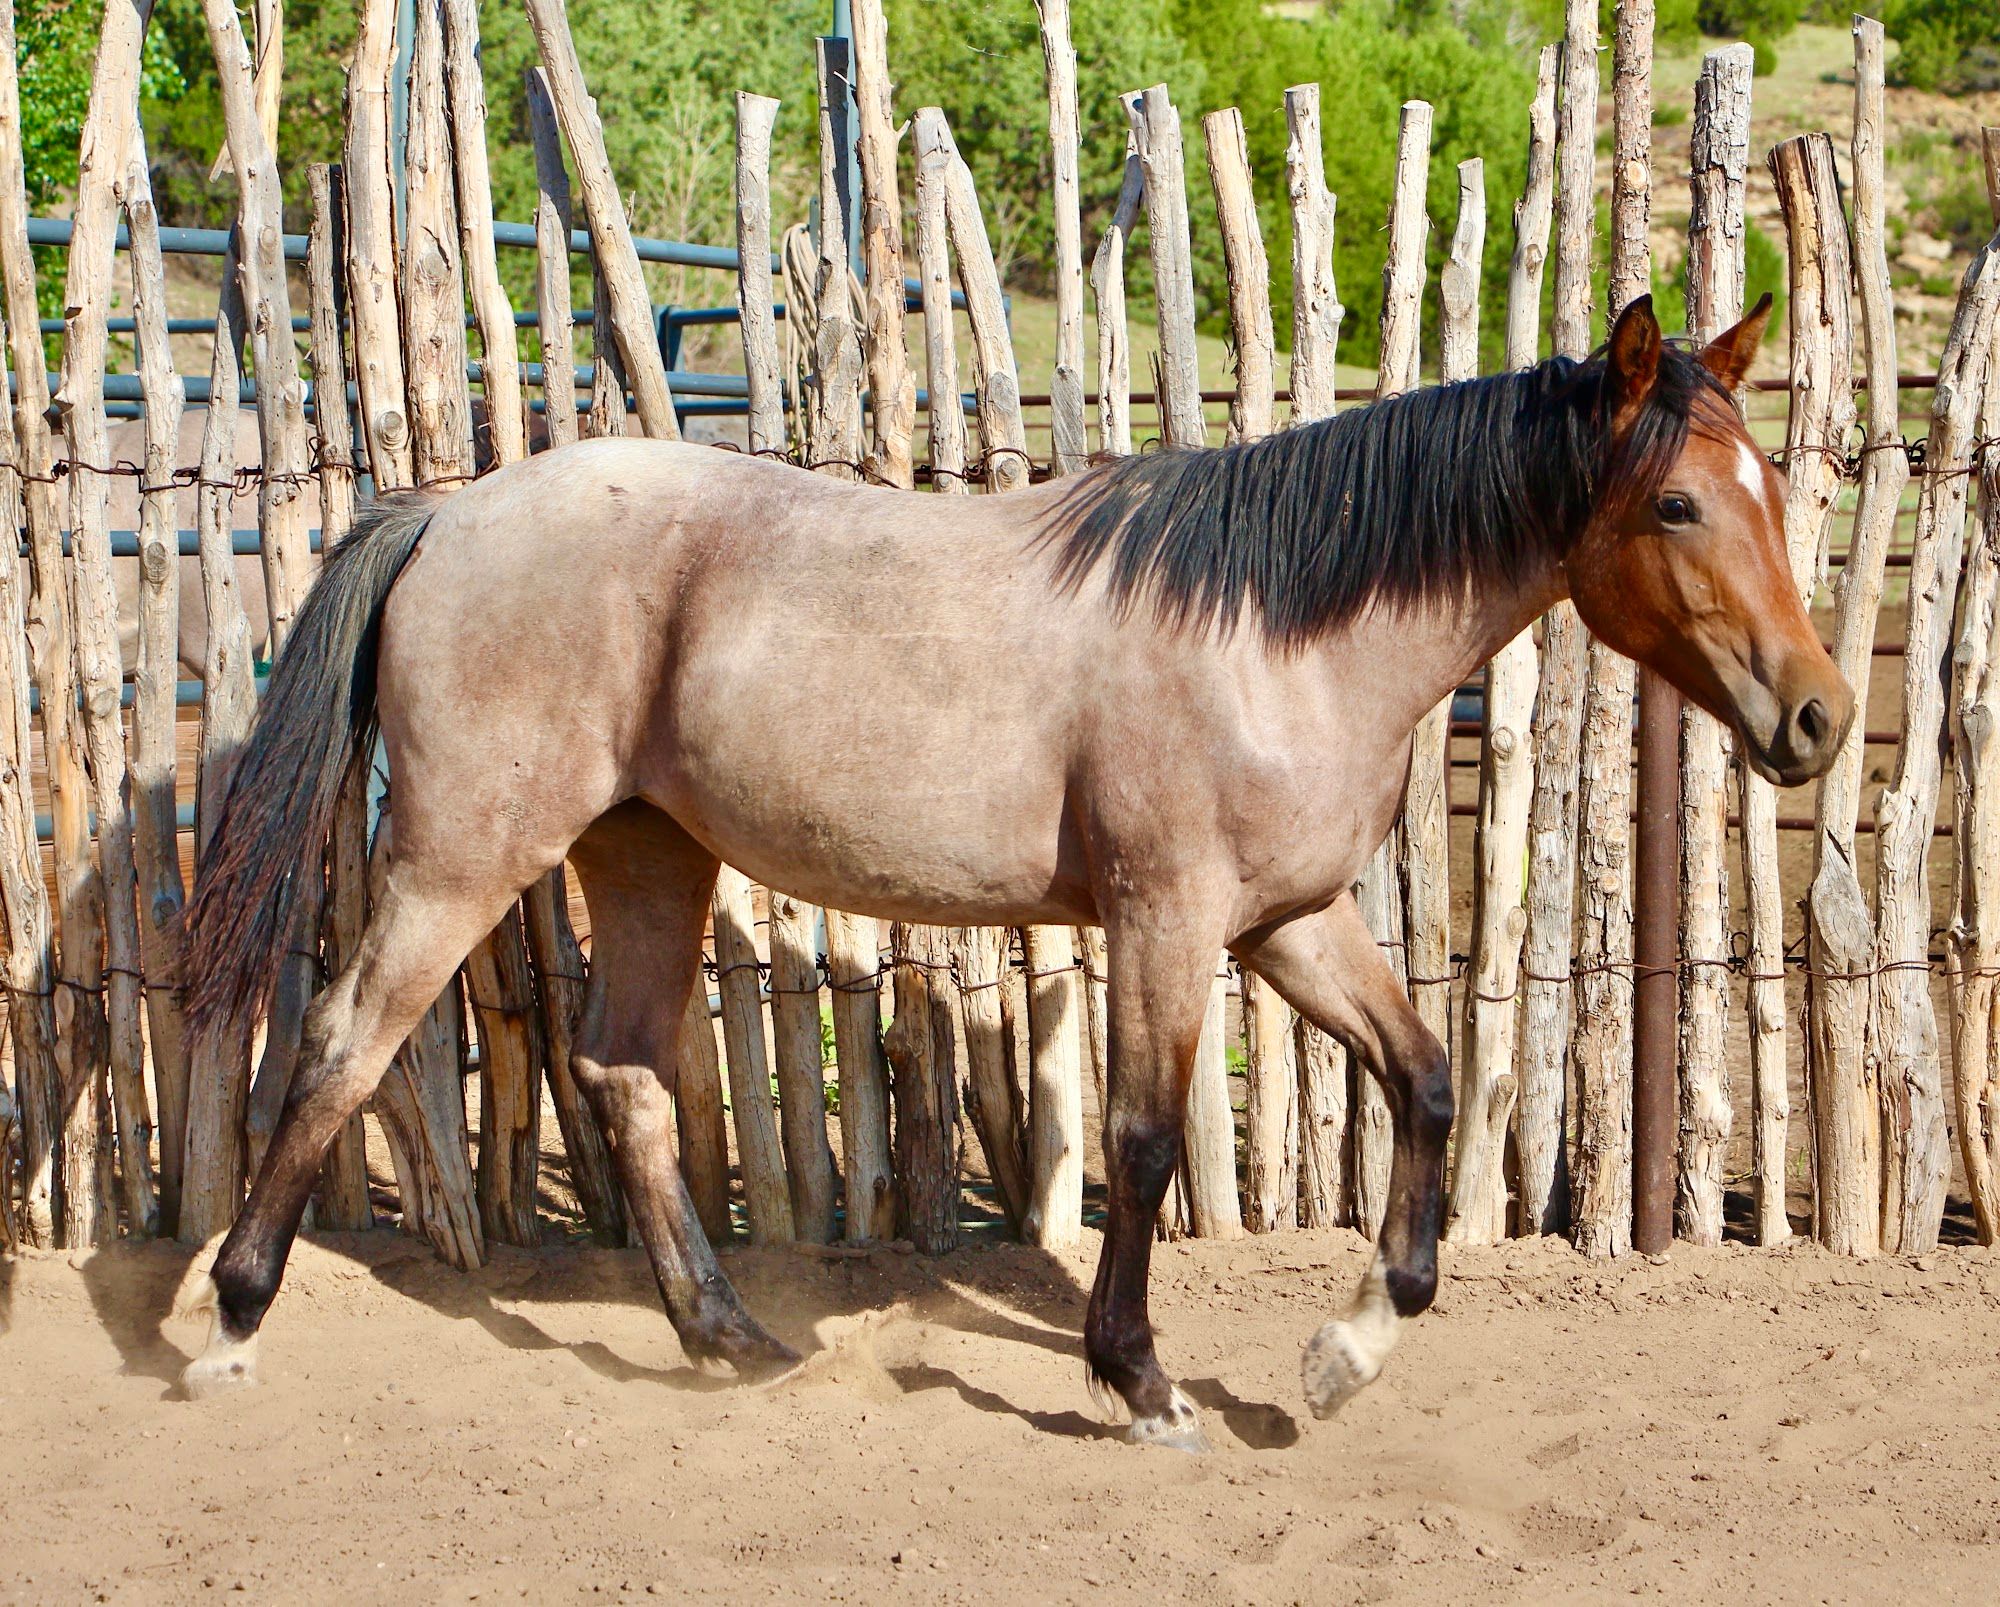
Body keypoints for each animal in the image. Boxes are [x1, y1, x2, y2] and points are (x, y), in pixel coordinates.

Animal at [174, 293, 1850, 1449]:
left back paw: (727, 1334)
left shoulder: (1288, 923)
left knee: (625, 1071)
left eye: (1774, 487)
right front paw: (1143, 1379)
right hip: (463, 853)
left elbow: (1430, 1080)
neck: (1280, 631)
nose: (1819, 716)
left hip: (648, 854)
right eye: (1679, 501)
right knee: (342, 1042)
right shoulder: (1168, 916)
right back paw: (231, 1321)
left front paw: (1344, 1352)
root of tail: (448, 511)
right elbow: (1147, 1137)